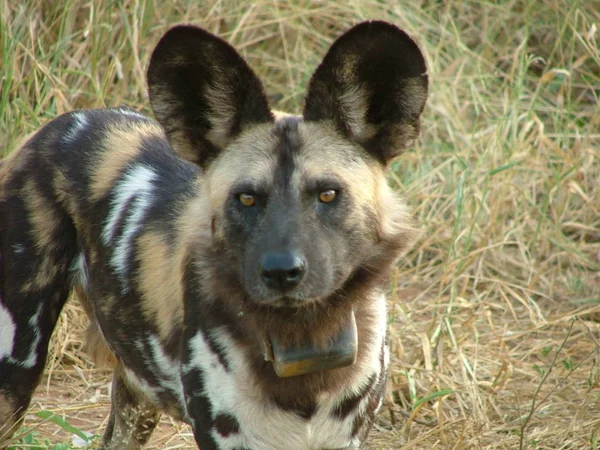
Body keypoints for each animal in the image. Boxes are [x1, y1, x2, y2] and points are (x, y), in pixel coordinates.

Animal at [2, 21, 428, 450]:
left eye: (328, 194)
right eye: (247, 198)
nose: (281, 272)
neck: (300, 337)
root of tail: (64, 123)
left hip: (138, 398)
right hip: (16, 372)